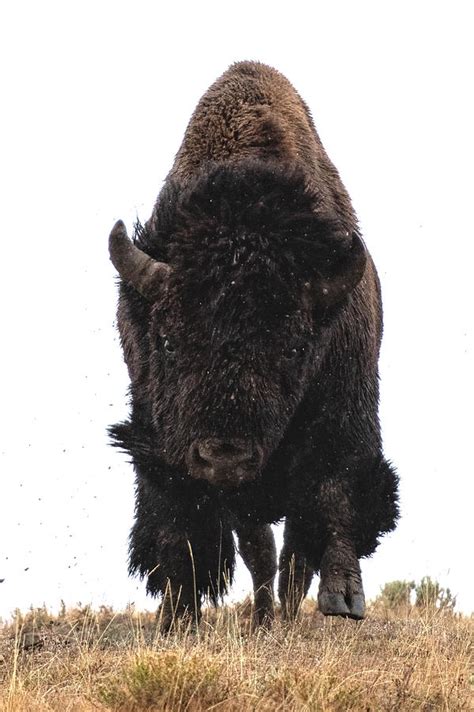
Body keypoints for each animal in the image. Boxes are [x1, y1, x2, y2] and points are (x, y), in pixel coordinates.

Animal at [109, 61, 398, 628]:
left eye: (293, 349)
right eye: (168, 342)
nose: (225, 456)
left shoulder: (344, 414)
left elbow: (335, 494)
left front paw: (344, 600)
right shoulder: (160, 441)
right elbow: (187, 523)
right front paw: (178, 611)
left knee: (293, 550)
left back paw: (291, 611)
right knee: (262, 548)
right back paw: (259, 615)